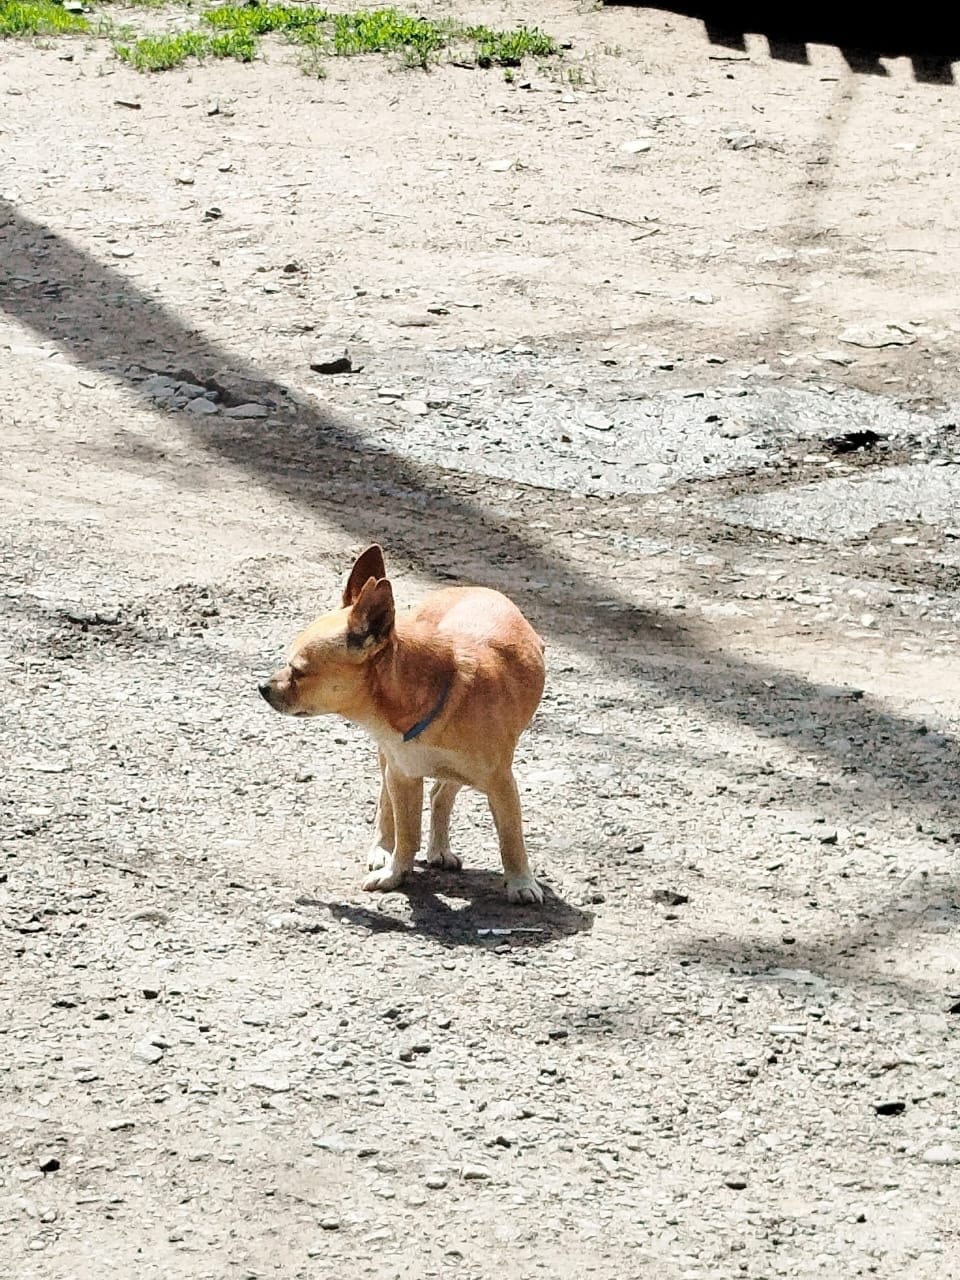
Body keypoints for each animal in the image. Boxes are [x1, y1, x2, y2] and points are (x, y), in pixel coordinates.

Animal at [261, 545, 547, 906]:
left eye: (298, 671)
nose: (262, 687)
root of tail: (472, 588)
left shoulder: (501, 782)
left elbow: (511, 837)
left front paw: (521, 882)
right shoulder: (404, 776)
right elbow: (406, 831)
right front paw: (395, 873)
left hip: (468, 771)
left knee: (441, 793)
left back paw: (440, 848)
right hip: (392, 765)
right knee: (389, 805)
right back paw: (385, 848)